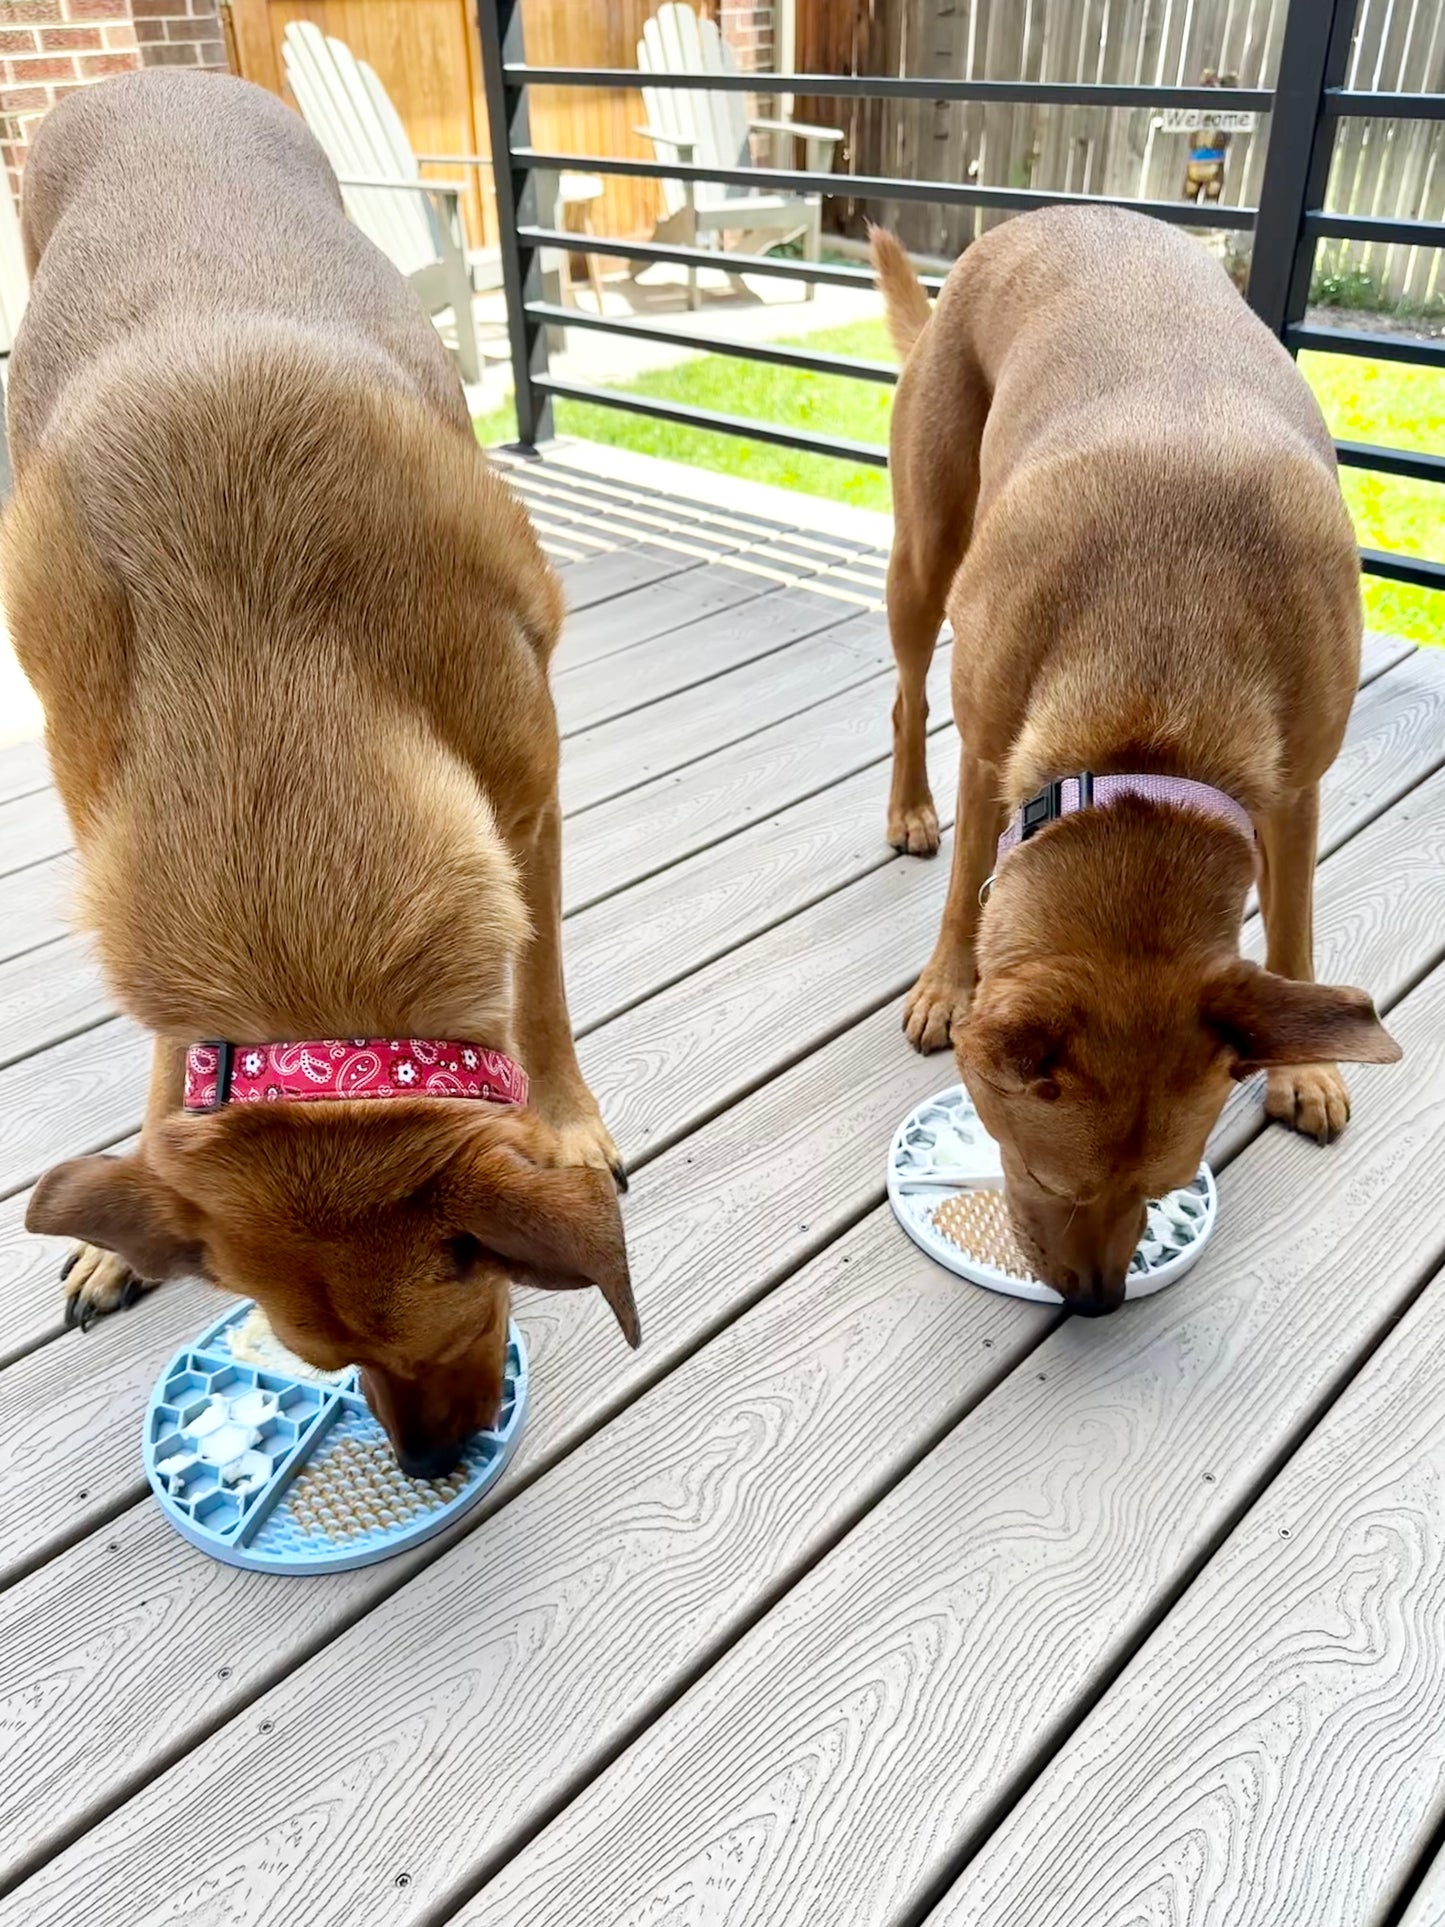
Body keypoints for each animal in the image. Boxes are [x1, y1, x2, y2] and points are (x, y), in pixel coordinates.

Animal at [4, 67, 639, 1464]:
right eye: (320, 1363)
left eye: (471, 1296)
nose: (432, 1460)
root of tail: (157, 76)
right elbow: (166, 1057)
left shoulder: (529, 801)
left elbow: (543, 988)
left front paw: (564, 1121)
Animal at [870, 214, 1402, 1325]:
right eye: (1041, 1175)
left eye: (1161, 1192)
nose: (1096, 1303)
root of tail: (1041, 220)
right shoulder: (992, 747)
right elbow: (966, 884)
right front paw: (947, 983)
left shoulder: (1293, 790)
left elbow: (1294, 924)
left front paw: (1306, 1068)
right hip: (923, 553)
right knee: (906, 695)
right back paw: (908, 811)